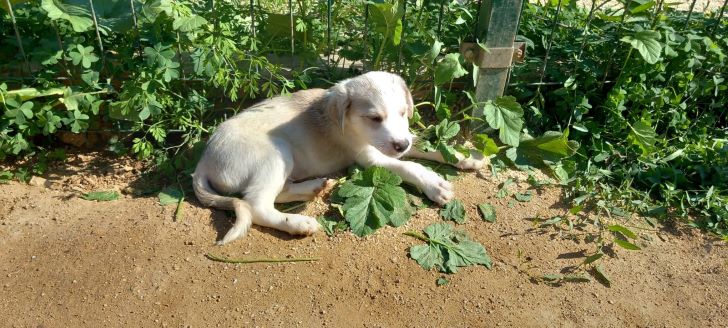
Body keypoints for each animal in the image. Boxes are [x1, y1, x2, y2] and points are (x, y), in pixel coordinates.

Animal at [193, 70, 484, 243]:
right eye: (374, 118)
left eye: (403, 113)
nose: (401, 144)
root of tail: (202, 162)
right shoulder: (370, 158)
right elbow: (410, 166)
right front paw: (434, 184)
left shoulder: (398, 140)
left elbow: (427, 145)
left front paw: (467, 156)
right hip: (275, 153)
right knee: (256, 205)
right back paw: (297, 222)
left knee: (276, 192)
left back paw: (314, 188)